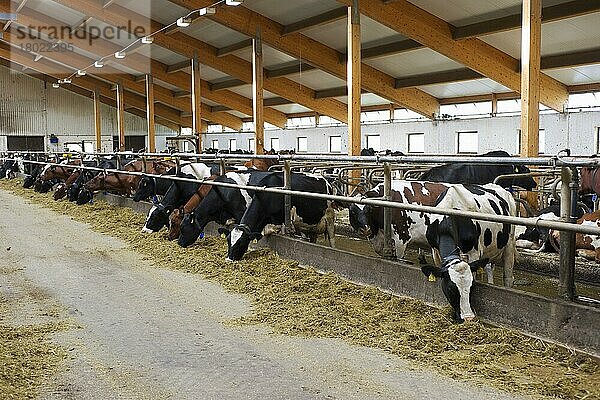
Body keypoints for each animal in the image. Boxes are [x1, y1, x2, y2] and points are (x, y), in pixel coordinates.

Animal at [350, 181, 516, 322]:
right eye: (352, 210)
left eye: (368, 209)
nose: (365, 229)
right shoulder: (436, 252)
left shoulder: (401, 238)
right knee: (488, 267)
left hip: (509, 244)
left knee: (508, 275)